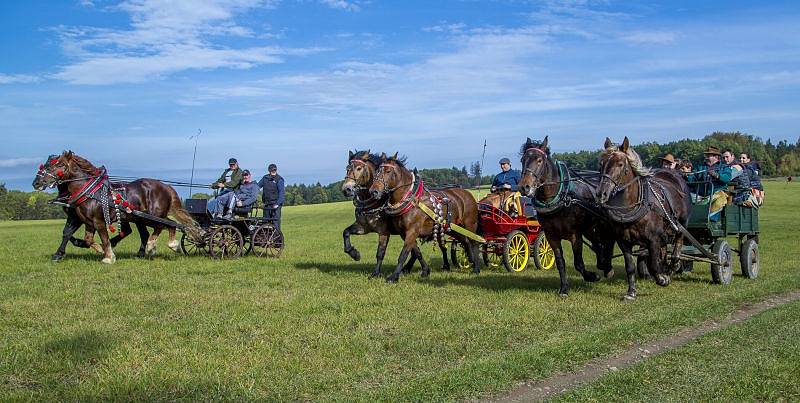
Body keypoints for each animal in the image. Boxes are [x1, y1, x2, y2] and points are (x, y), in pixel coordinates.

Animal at [33, 152, 203, 266]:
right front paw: (96, 249)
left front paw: (108, 256)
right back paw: (154, 248)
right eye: (46, 165)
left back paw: (156, 246)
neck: (89, 190)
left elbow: (103, 238)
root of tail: (166, 187)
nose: (36, 183)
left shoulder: (98, 221)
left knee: (165, 225)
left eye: (59, 165)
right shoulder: (85, 220)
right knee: (164, 227)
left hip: (151, 215)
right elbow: (84, 238)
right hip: (141, 217)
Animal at [340, 150, 424, 280]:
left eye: (359, 168)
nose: (346, 189)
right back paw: (407, 269)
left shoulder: (384, 231)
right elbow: (346, 232)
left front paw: (376, 273)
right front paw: (354, 254)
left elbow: (380, 252)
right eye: (347, 168)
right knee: (415, 250)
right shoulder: (363, 227)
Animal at [370, 153, 482, 282]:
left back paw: (476, 268)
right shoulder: (404, 233)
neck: (411, 199)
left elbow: (403, 254)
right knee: (465, 241)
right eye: (377, 171)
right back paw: (471, 260)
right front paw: (425, 271)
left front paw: (394, 276)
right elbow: (416, 252)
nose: (373, 191)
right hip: (452, 228)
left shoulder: (412, 231)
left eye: (388, 171)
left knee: (474, 242)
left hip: (470, 224)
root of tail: (467, 193)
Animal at [516, 137, 616, 298]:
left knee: (608, 243)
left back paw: (607, 268)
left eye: (539, 160)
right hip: (589, 228)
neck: (560, 198)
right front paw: (564, 288)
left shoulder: (575, 235)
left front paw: (592, 276)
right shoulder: (551, 236)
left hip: (603, 225)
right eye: (522, 159)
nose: (524, 187)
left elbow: (578, 263)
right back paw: (601, 262)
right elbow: (560, 263)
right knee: (597, 244)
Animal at [596, 138, 692, 300]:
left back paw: (674, 265)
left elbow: (653, 265)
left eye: (620, 164)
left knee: (678, 242)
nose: (601, 193)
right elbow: (630, 267)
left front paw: (662, 279)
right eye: (601, 163)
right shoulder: (624, 241)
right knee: (664, 249)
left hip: (681, 223)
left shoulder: (653, 239)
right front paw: (631, 292)